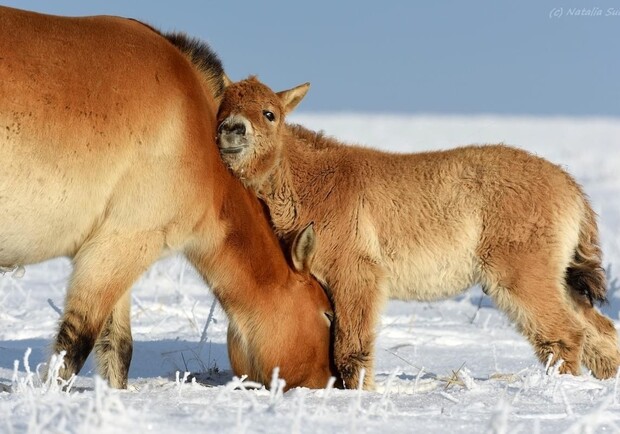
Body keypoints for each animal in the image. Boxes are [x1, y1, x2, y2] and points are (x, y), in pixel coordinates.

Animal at [0, 6, 336, 392]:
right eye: (327, 314)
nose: (333, 383)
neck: (197, 138)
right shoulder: (123, 243)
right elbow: (71, 350)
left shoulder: (114, 254)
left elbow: (117, 348)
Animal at [217, 77, 620, 390]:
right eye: (222, 109)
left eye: (269, 113)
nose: (232, 129)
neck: (312, 181)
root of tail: (571, 188)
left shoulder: (356, 272)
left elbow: (350, 347)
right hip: (557, 276)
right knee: (599, 331)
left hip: (520, 272)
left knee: (567, 333)